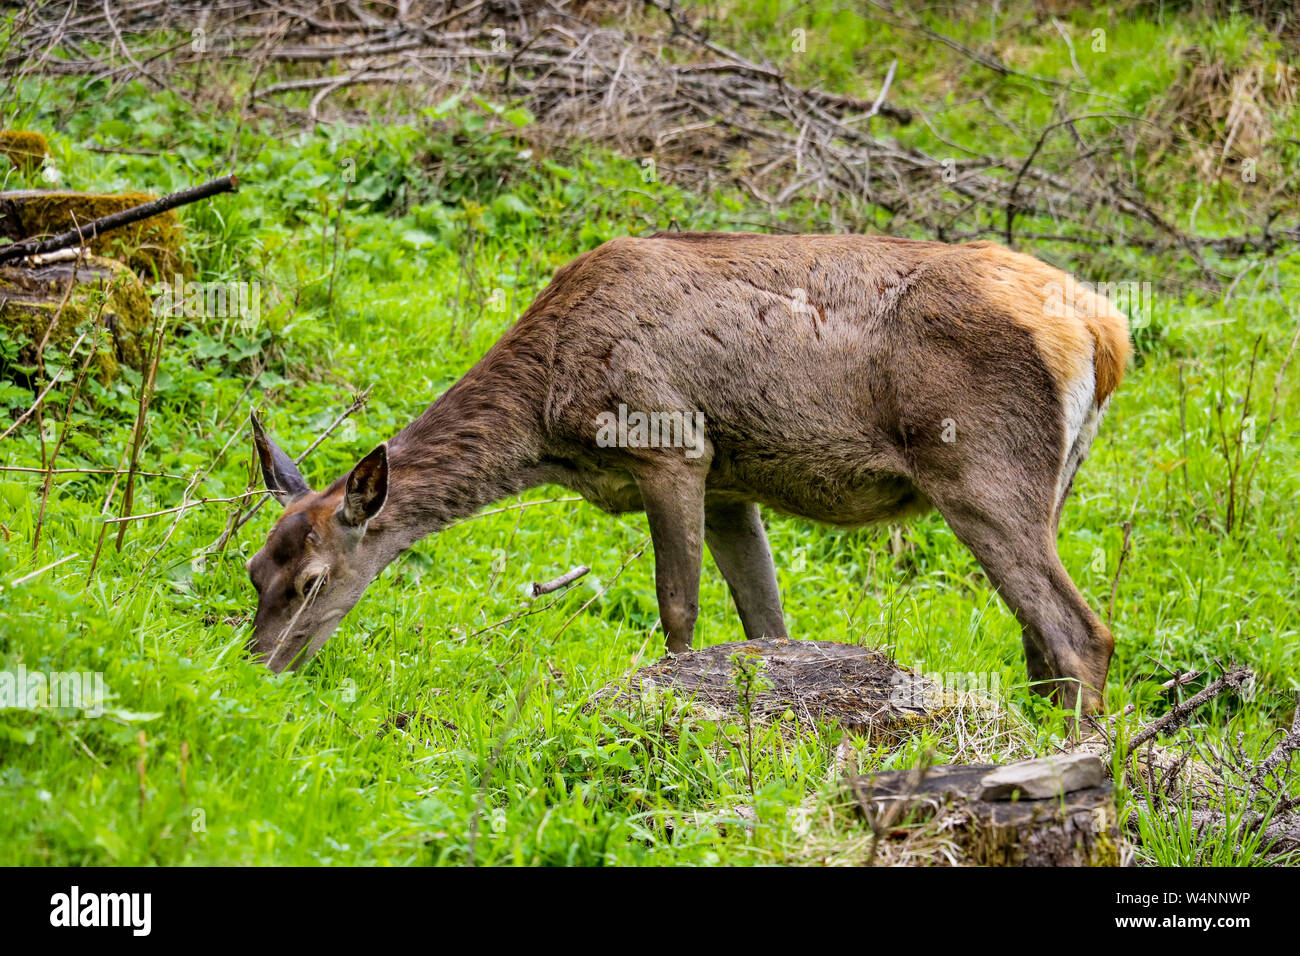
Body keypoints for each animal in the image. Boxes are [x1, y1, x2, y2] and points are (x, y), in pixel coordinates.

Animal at [244, 230, 1128, 712]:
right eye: (255, 568)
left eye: (313, 580)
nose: (256, 667)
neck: (548, 416)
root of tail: (1103, 329)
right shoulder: (735, 484)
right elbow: (767, 625)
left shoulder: (671, 443)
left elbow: (677, 611)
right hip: (1054, 484)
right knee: (1040, 642)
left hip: (980, 472)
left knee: (1080, 633)